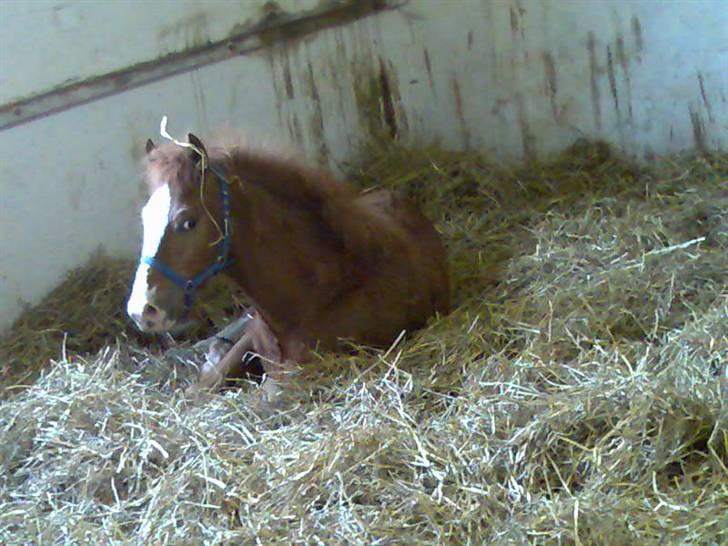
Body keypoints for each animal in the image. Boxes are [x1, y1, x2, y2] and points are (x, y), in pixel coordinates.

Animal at [128, 129, 452, 396]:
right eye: (143, 218)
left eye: (188, 222)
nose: (142, 311)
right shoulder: (252, 338)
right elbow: (201, 388)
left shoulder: (300, 374)